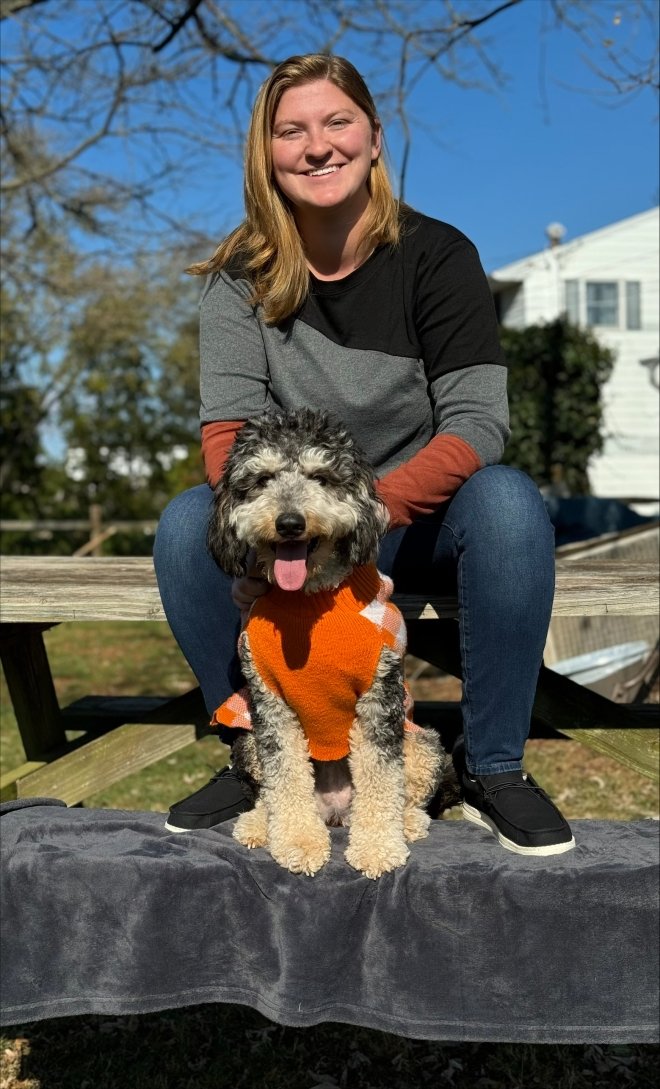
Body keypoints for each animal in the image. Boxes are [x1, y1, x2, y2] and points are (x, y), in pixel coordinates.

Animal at [206, 407, 455, 875]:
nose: (289, 523)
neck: (310, 603)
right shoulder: (270, 702)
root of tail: (337, 811)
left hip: (422, 743)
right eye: (262, 479)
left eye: (320, 477)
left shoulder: (379, 697)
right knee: (271, 793)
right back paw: (259, 823)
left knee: (406, 795)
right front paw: (298, 843)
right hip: (248, 742)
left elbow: (381, 778)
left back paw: (407, 823)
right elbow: (286, 778)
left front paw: (377, 848)